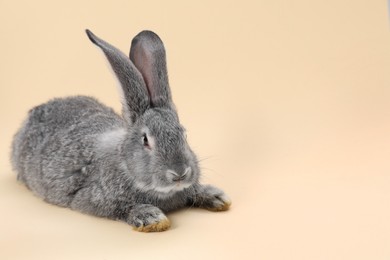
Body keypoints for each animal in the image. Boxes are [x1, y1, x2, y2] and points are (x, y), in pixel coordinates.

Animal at [10, 29, 230, 233]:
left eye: (184, 134)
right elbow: (122, 209)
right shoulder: (94, 199)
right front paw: (152, 218)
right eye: (146, 140)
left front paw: (217, 196)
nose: (179, 174)